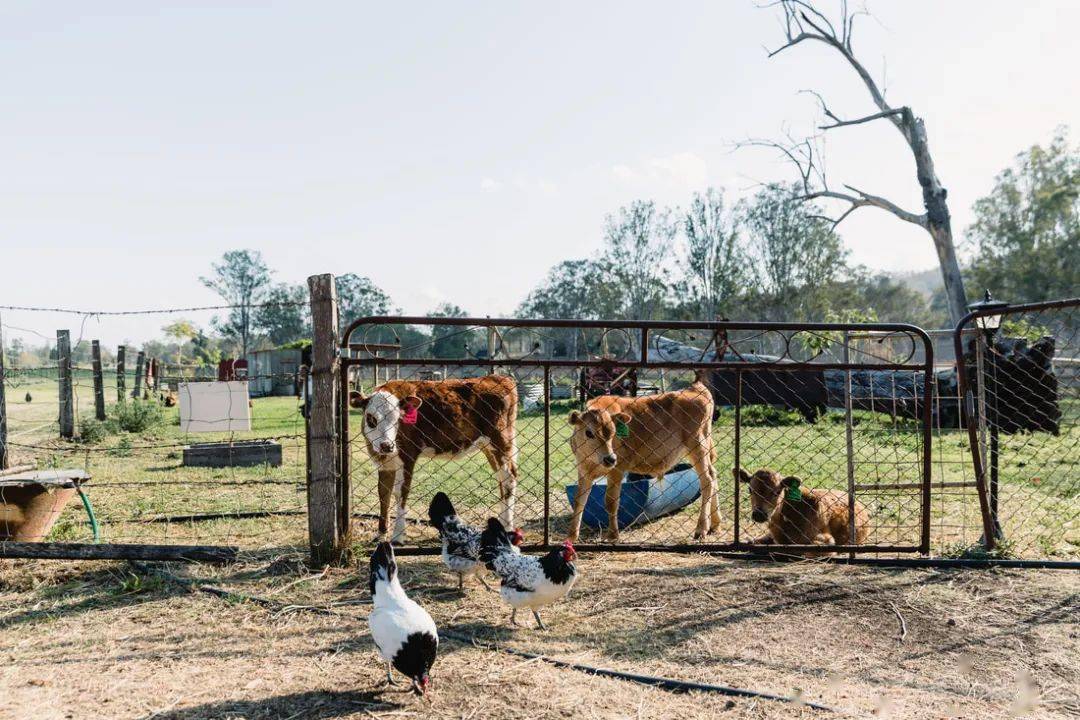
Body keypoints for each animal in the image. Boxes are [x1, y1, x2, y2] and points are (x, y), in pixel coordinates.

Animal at [565, 382, 717, 539]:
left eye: (614, 433)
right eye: (588, 433)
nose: (610, 459)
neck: (592, 461)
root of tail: (695, 388)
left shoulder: (617, 469)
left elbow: (611, 502)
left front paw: (613, 535)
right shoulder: (584, 471)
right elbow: (579, 501)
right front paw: (572, 536)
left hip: (697, 445)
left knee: (707, 480)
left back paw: (701, 528)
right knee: (713, 475)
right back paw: (714, 524)